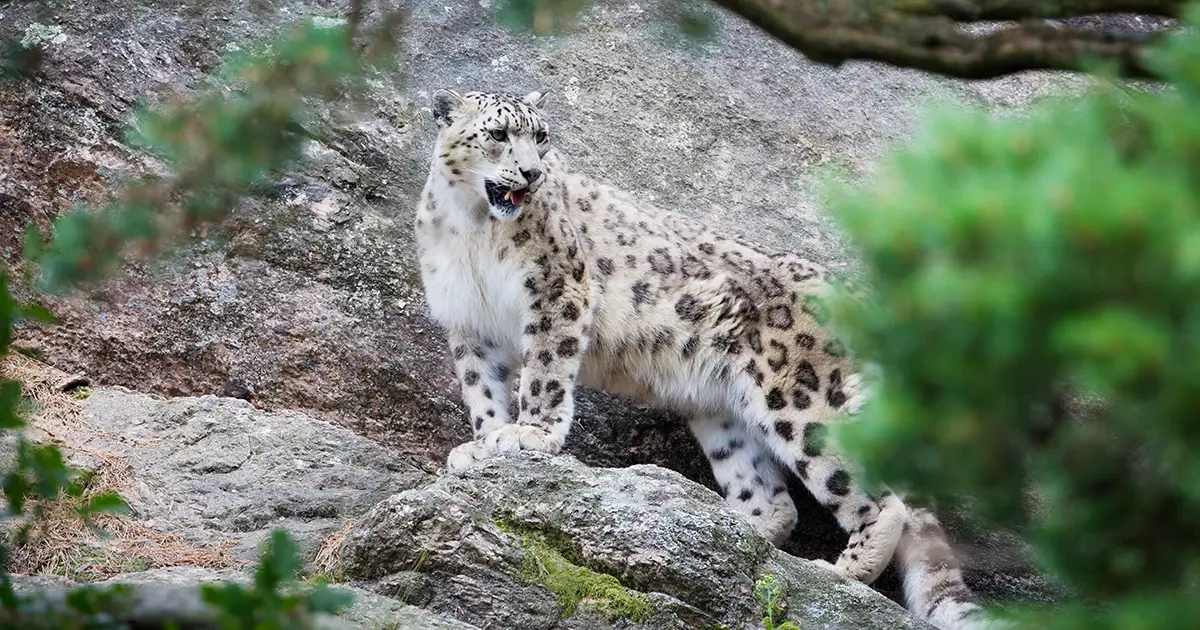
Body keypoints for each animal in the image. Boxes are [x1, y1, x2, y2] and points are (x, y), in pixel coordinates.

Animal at [413, 88, 998, 630]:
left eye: (541, 137)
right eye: (498, 134)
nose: (532, 173)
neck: (473, 227)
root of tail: (861, 300)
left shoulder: (557, 292)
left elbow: (544, 372)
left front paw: (529, 435)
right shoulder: (468, 323)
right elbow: (482, 389)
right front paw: (484, 442)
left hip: (800, 399)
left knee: (878, 495)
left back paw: (838, 571)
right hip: (726, 415)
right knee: (773, 499)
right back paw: (731, 533)